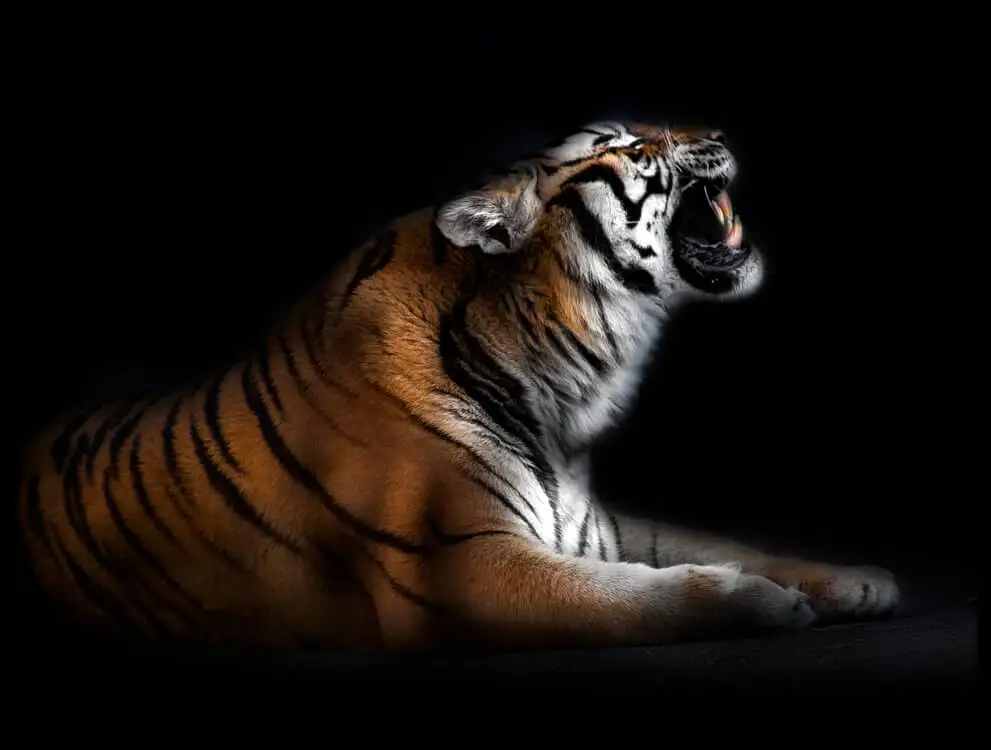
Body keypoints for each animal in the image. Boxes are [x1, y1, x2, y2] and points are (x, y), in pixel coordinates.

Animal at [17, 121, 901, 652]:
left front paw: (856, 580)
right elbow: (632, 600)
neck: (564, 386)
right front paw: (762, 604)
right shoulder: (461, 567)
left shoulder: (594, 527)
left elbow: (719, 542)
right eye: (634, 146)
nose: (717, 132)